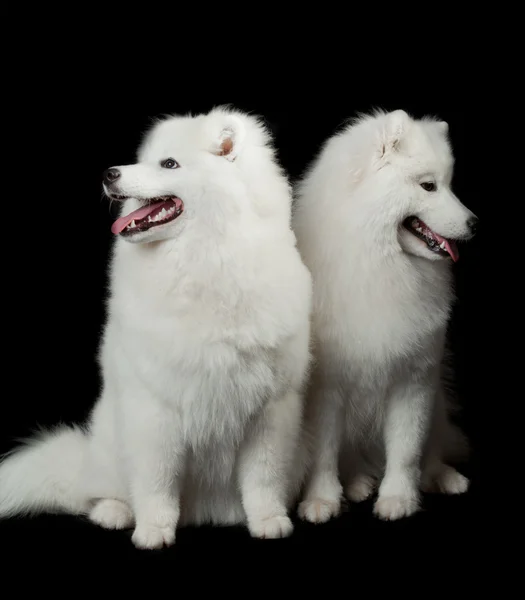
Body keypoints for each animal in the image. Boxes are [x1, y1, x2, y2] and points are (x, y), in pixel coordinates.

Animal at [0, 104, 312, 548]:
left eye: (169, 164)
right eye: (144, 160)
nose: (109, 173)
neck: (204, 260)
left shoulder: (269, 409)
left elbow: (263, 478)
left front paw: (269, 521)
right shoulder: (156, 410)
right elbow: (157, 482)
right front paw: (154, 531)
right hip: (108, 442)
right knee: (99, 492)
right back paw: (114, 512)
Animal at [292, 110, 476, 524]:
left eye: (449, 185)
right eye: (428, 186)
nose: (475, 223)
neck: (379, 266)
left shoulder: (414, 380)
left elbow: (406, 451)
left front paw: (398, 498)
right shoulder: (326, 389)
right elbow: (323, 454)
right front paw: (322, 500)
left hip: (438, 400)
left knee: (433, 448)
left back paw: (442, 477)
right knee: (352, 460)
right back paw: (358, 482)